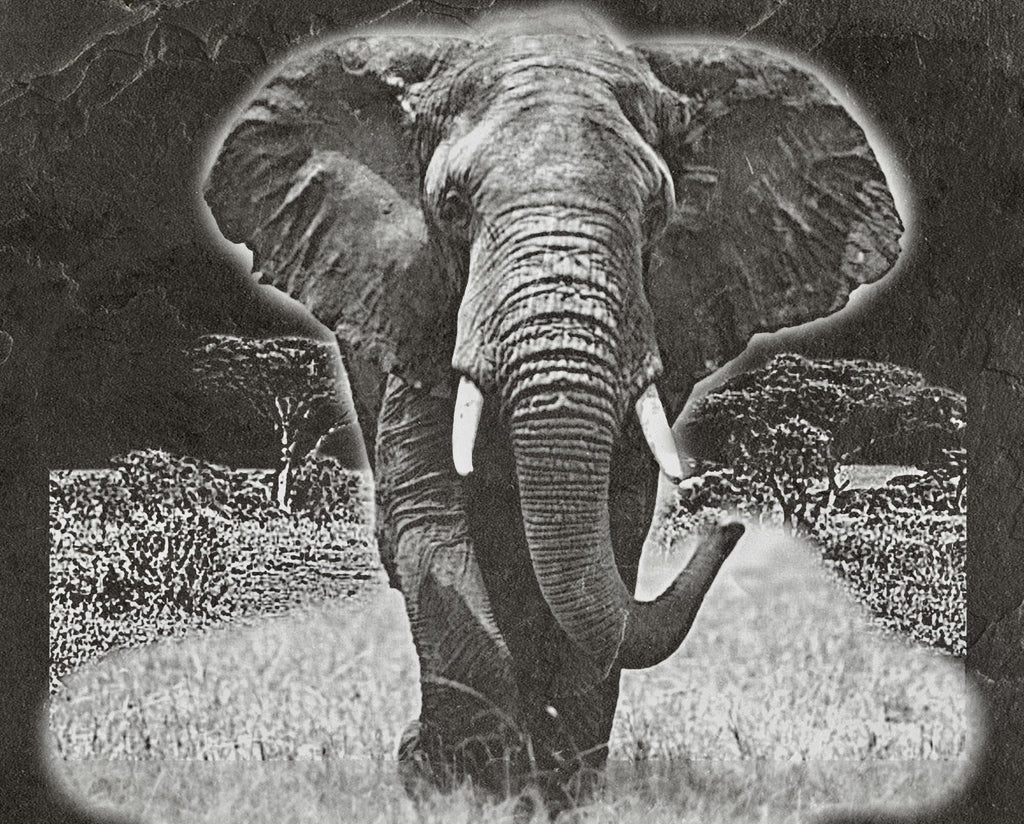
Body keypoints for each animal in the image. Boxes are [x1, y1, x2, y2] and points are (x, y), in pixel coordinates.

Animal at [203, 12, 903, 812]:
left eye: (657, 213)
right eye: (451, 208)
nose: (729, 524)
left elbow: (616, 525)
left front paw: (556, 788)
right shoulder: (417, 309)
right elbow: (428, 516)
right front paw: (465, 783)